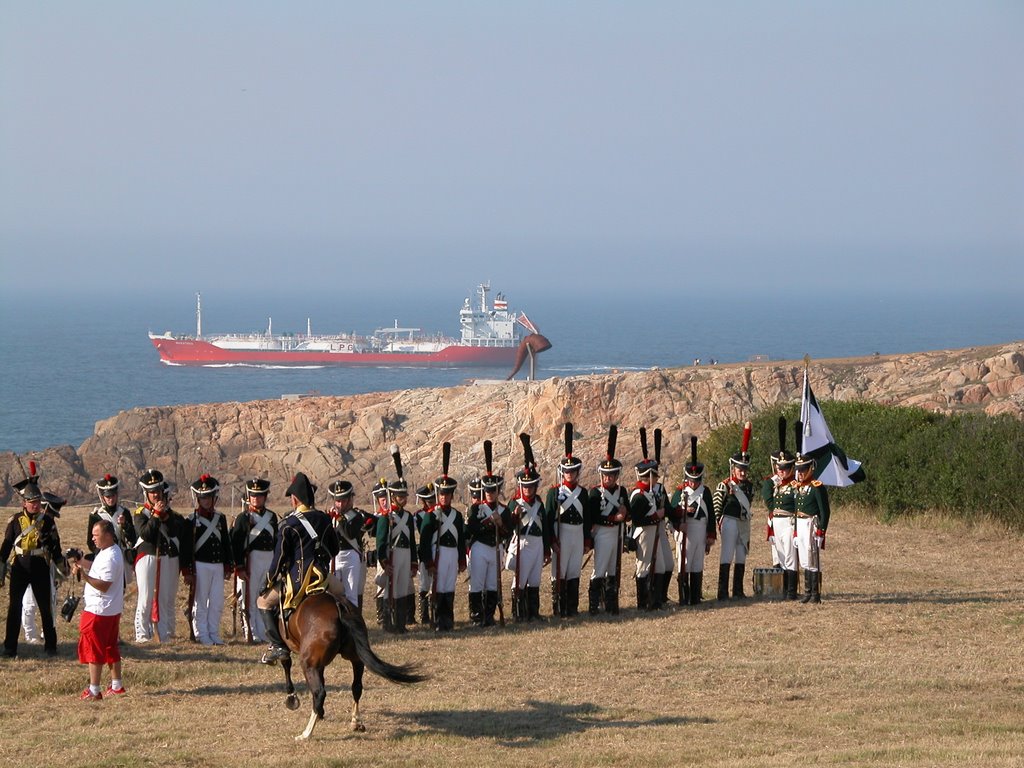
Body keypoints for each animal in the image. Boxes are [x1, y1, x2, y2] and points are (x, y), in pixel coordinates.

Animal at [274, 593, 425, 741]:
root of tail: (338, 606)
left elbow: (286, 663)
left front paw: (291, 698)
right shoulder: (321, 663)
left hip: (309, 665)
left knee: (319, 692)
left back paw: (306, 733)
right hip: (356, 660)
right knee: (356, 687)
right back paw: (355, 722)